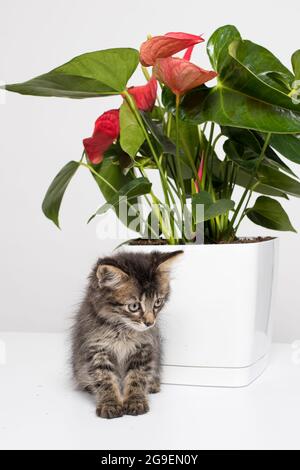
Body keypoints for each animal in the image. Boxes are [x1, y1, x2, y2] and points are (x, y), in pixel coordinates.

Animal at [71, 250, 182, 418]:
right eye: (134, 306)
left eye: (157, 302)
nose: (150, 323)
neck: (122, 329)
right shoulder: (97, 348)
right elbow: (104, 378)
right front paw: (110, 403)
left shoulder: (144, 348)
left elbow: (137, 376)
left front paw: (135, 401)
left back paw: (153, 384)